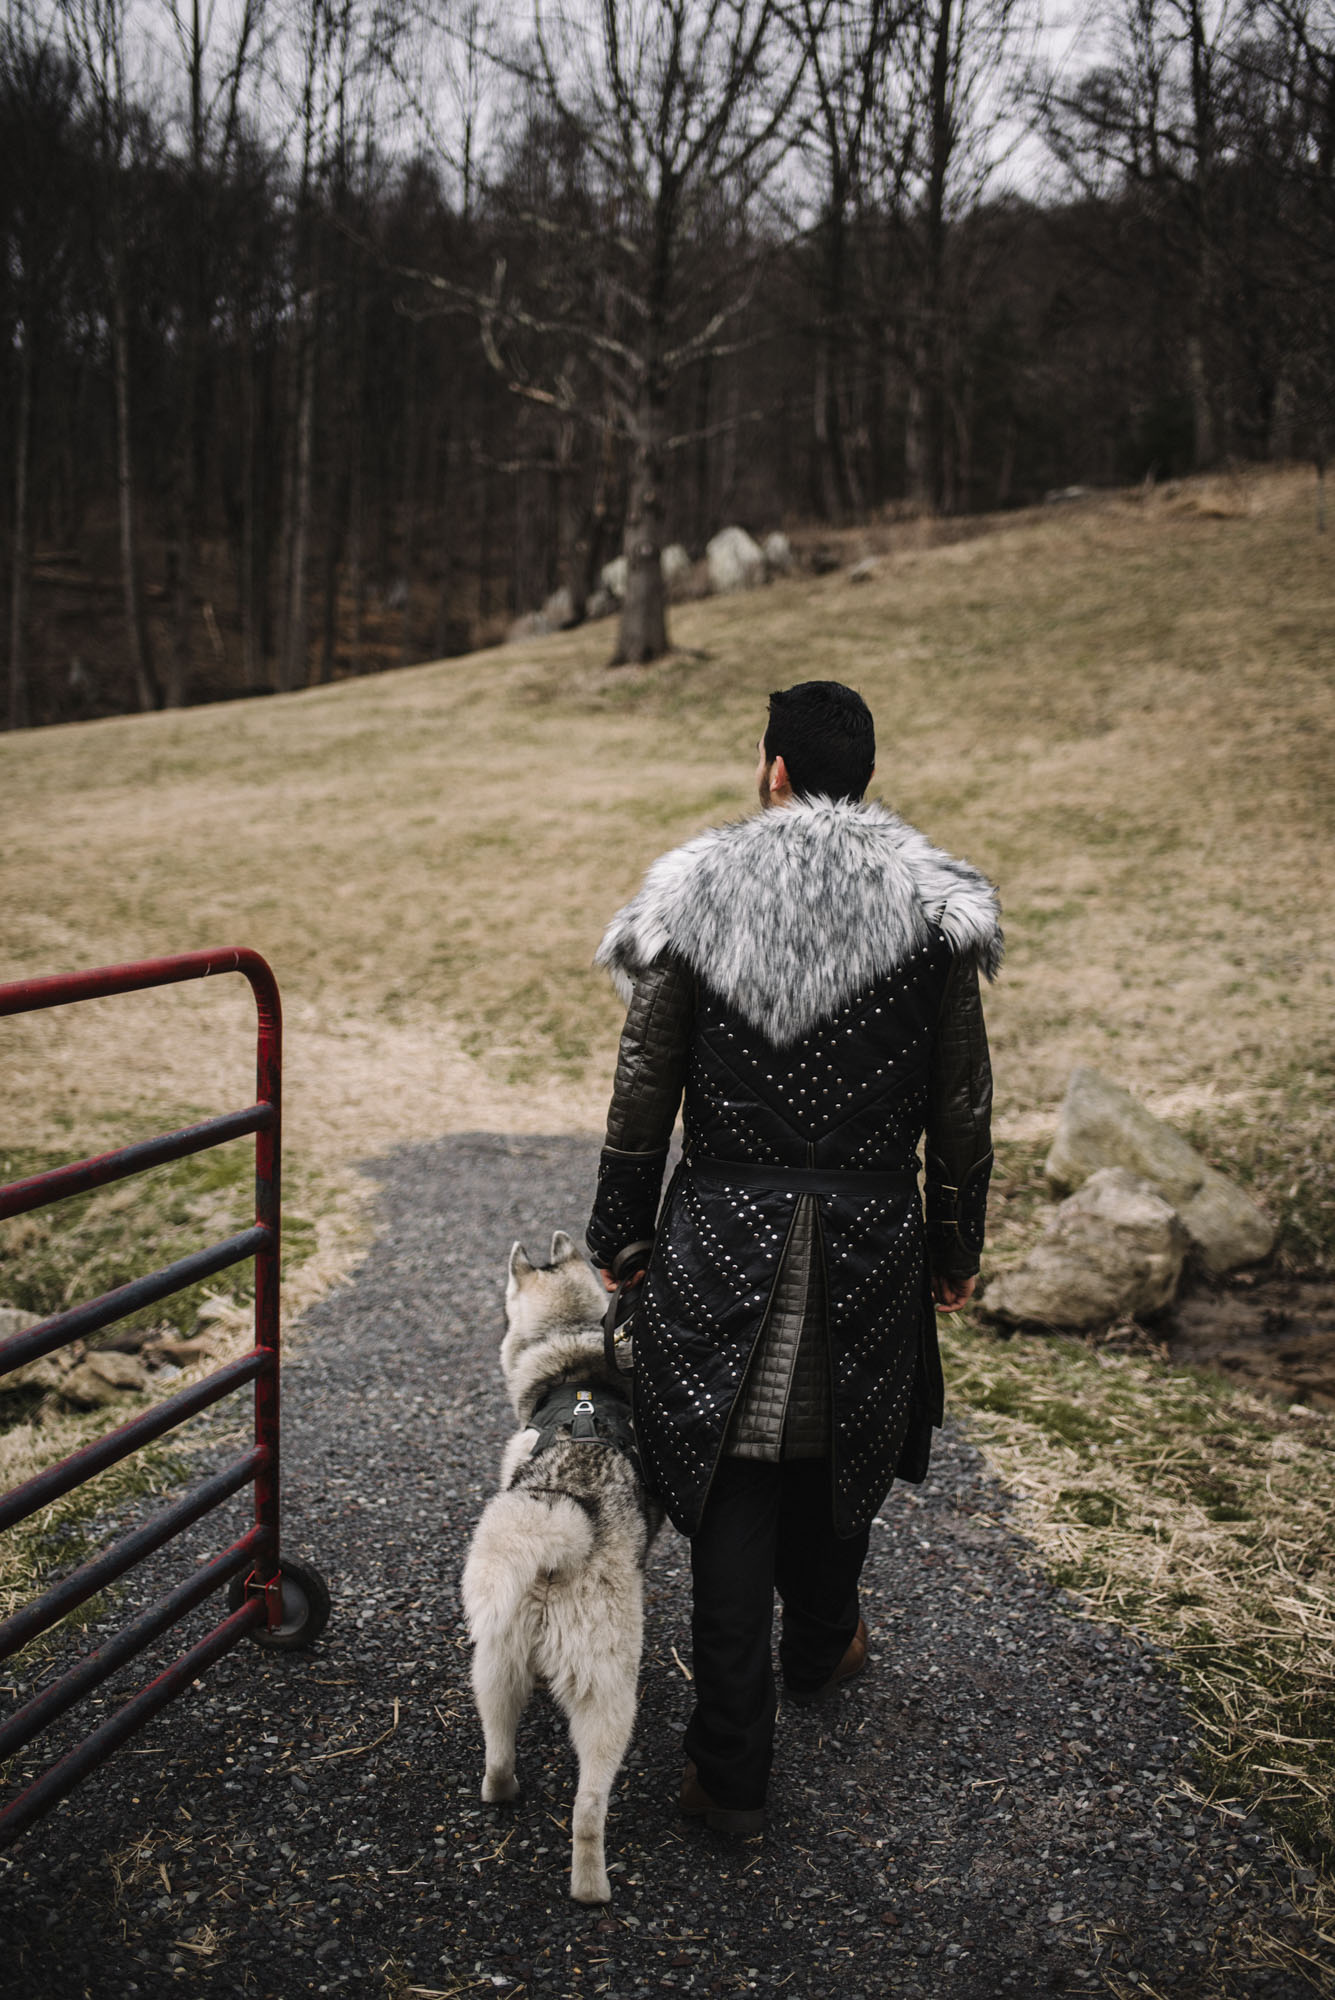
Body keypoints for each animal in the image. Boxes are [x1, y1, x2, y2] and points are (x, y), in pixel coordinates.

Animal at [461, 1224, 663, 1896]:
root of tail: (558, 1536)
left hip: (496, 1665)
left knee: (501, 1754)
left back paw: (502, 1794)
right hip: (609, 1698)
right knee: (589, 1809)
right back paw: (592, 1889)